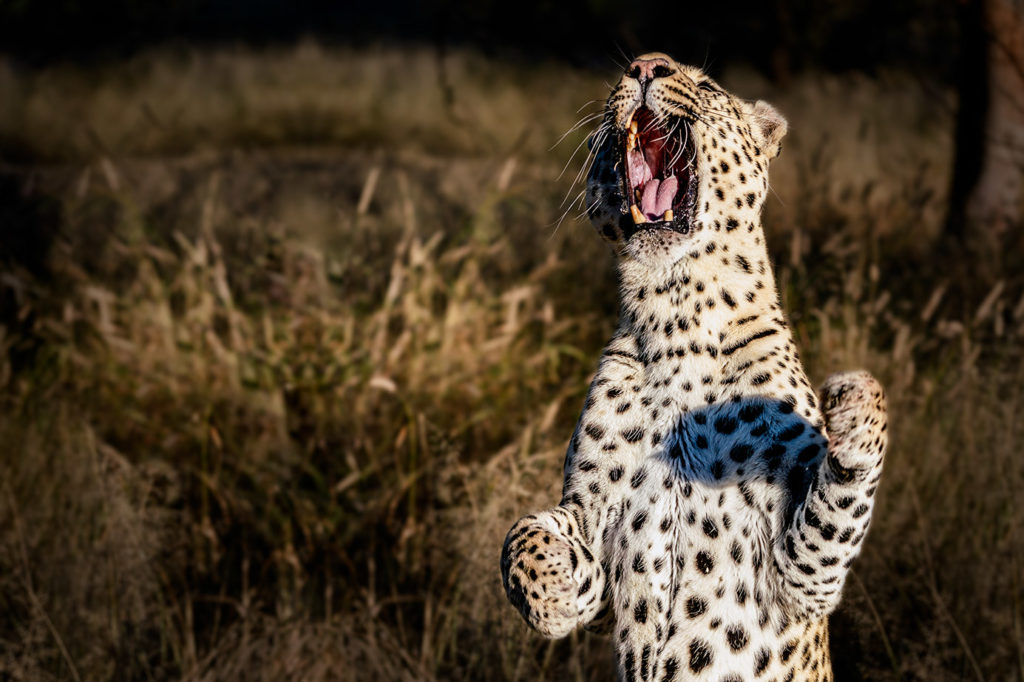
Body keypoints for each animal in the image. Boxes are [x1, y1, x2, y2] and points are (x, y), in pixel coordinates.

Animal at [499, 54, 884, 679]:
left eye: (704, 85)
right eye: (628, 72)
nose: (644, 65)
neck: (676, 310)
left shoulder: (803, 572)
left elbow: (843, 488)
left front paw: (853, 400)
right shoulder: (588, 511)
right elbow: (524, 533)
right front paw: (551, 594)